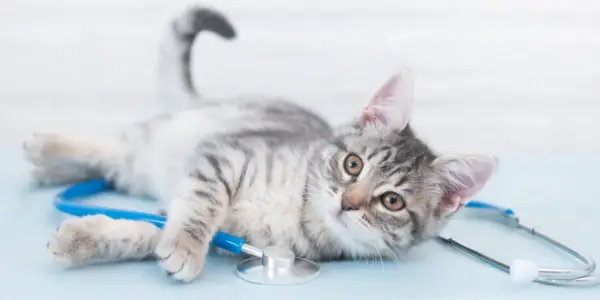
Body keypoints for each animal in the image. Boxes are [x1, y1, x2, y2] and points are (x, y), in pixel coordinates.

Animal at [25, 4, 494, 284]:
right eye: (353, 164)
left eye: (392, 202)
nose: (348, 202)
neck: (296, 210)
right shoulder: (224, 154)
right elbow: (199, 206)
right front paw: (184, 244)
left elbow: (147, 231)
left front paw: (89, 239)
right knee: (113, 148)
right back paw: (45, 148)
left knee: (115, 162)